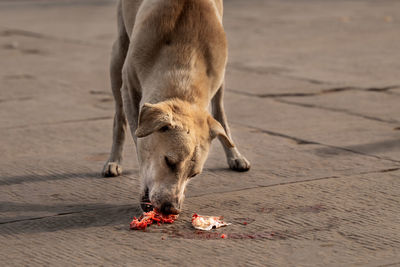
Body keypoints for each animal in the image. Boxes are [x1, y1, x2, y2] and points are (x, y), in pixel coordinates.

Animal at [102, 0, 250, 217]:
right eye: (169, 161)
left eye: (194, 174)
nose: (171, 209)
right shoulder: (129, 86)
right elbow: (137, 139)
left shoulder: (218, 74)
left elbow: (219, 115)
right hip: (118, 53)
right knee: (118, 115)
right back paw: (114, 160)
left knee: (219, 111)